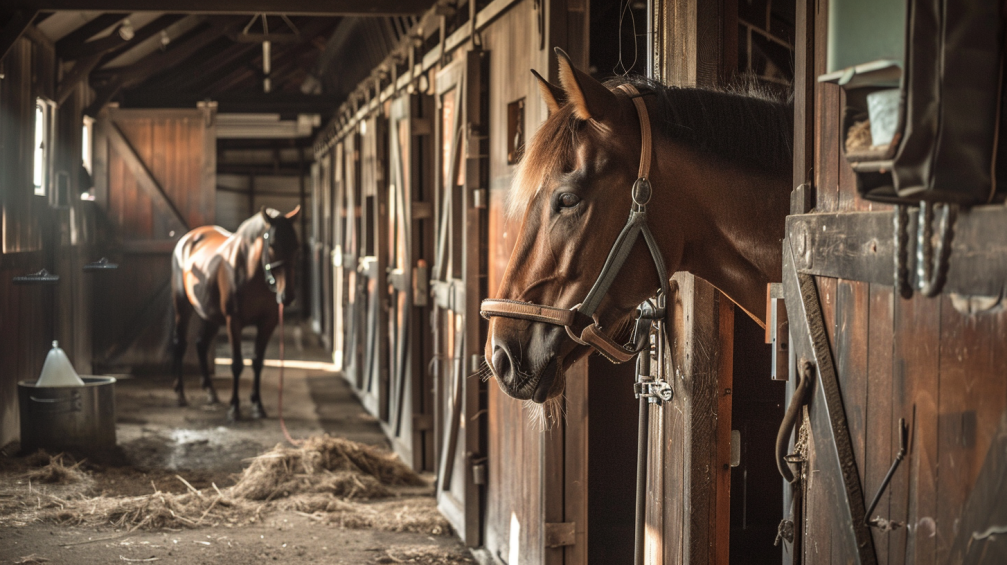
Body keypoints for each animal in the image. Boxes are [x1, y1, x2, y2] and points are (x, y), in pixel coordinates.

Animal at [171, 206, 298, 418]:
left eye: (296, 245)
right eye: (272, 244)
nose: (287, 296)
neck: (250, 272)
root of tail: (188, 239)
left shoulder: (268, 322)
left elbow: (257, 362)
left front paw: (258, 405)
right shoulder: (234, 321)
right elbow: (237, 364)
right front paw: (234, 407)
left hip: (210, 314)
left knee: (201, 344)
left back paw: (210, 391)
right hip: (183, 306)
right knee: (180, 344)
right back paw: (180, 394)